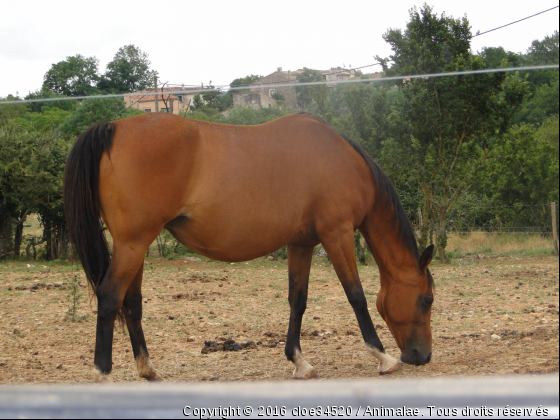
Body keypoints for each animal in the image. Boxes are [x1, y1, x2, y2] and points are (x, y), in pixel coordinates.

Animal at [63, 113, 436, 382]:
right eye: (427, 299)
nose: (423, 356)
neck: (340, 158)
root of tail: (114, 128)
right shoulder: (337, 234)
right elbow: (356, 296)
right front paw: (383, 357)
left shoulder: (301, 243)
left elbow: (298, 300)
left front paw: (299, 362)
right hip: (133, 244)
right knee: (110, 297)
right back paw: (103, 374)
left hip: (136, 246)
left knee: (131, 303)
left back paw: (148, 370)